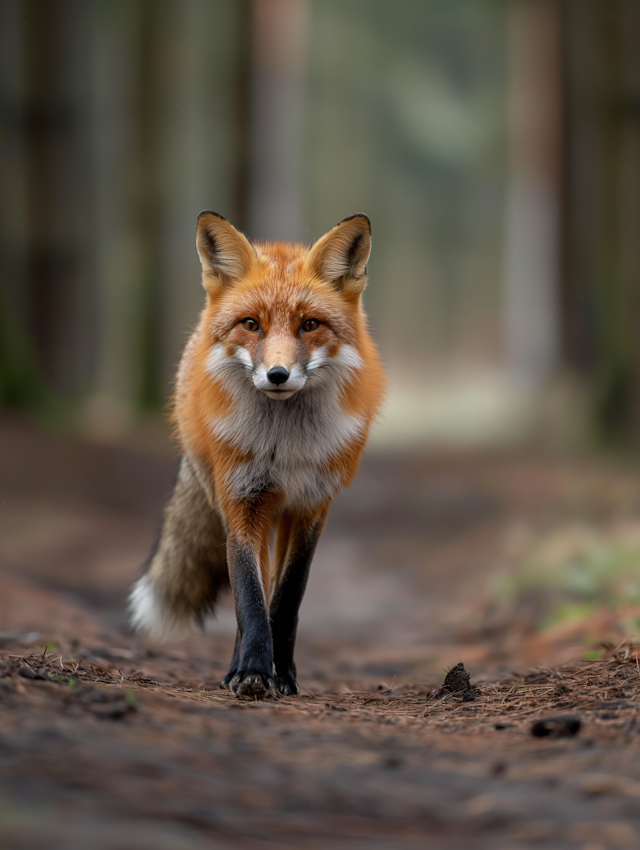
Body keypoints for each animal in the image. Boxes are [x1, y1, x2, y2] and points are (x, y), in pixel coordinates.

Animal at [127, 210, 382, 696]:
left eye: (309, 325)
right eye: (251, 324)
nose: (277, 374)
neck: (285, 447)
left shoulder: (312, 507)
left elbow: (287, 598)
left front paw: (282, 673)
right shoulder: (243, 500)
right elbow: (249, 595)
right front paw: (252, 671)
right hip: (236, 503)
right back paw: (236, 665)